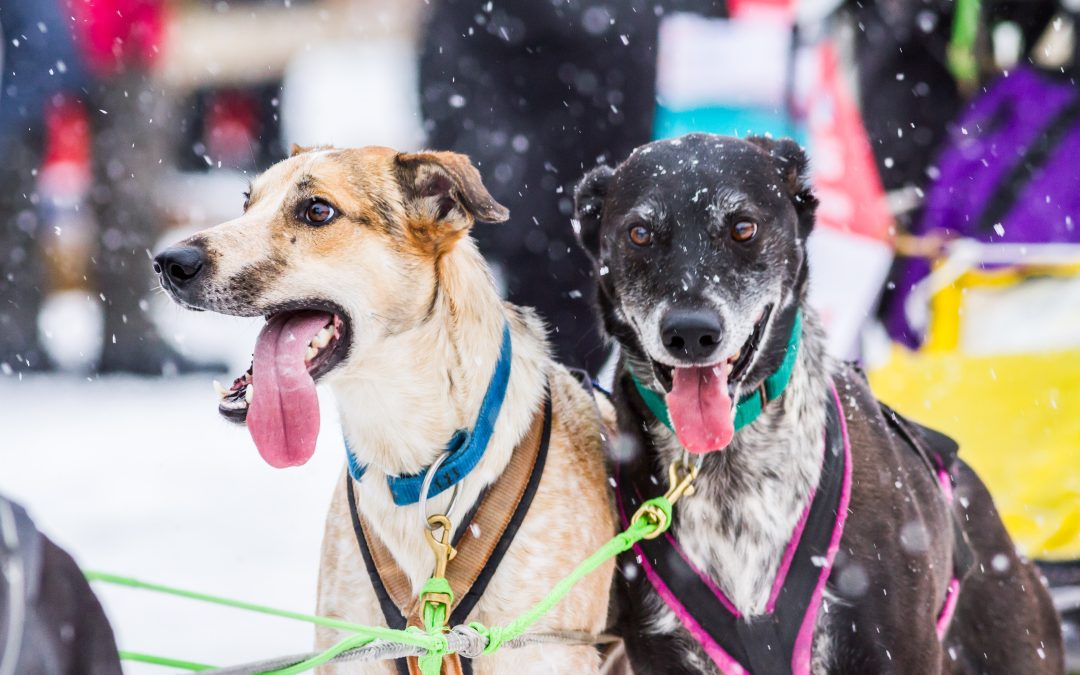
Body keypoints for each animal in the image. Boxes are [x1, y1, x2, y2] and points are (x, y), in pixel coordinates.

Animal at [156, 144, 622, 669]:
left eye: (317, 211)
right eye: (246, 202)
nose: (170, 262)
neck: (410, 463)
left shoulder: (540, 650)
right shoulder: (352, 650)